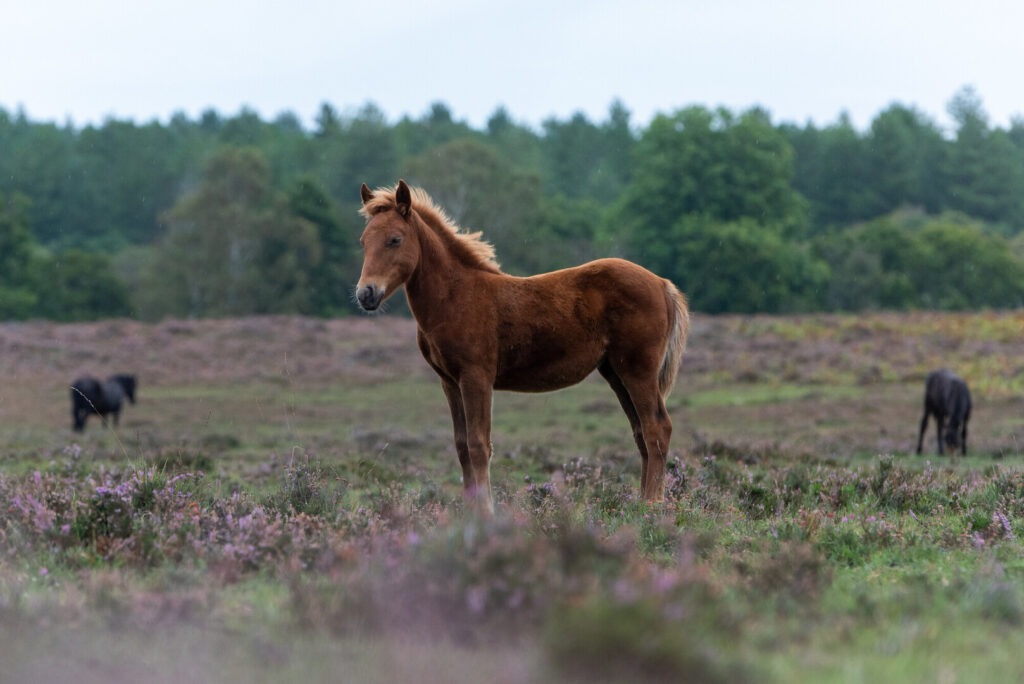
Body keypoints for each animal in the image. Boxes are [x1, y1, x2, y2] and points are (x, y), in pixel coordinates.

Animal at [355, 180, 689, 513]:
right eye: (363, 242)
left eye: (395, 239)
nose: (365, 294)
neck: (456, 296)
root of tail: (661, 283)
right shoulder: (449, 381)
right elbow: (462, 445)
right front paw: (470, 510)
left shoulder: (476, 377)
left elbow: (479, 444)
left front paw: (486, 511)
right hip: (616, 373)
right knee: (641, 432)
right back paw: (640, 502)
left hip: (638, 370)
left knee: (657, 428)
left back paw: (652, 506)